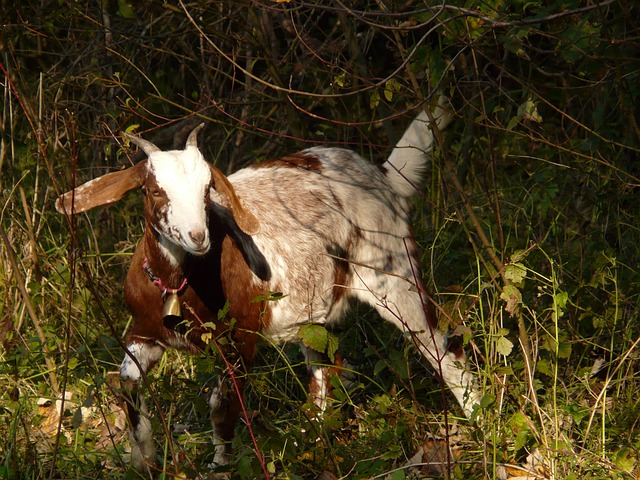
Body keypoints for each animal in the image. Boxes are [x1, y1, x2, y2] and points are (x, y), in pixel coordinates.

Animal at [56, 103, 480, 474]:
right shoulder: (144, 332)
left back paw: (478, 420)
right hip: (315, 311)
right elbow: (127, 380)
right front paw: (143, 458)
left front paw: (220, 467)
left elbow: (222, 405)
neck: (179, 284)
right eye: (154, 190)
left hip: (393, 273)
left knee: (441, 348)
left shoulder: (240, 339)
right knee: (325, 370)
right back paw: (311, 442)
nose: (197, 236)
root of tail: (381, 175)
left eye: (208, 188)